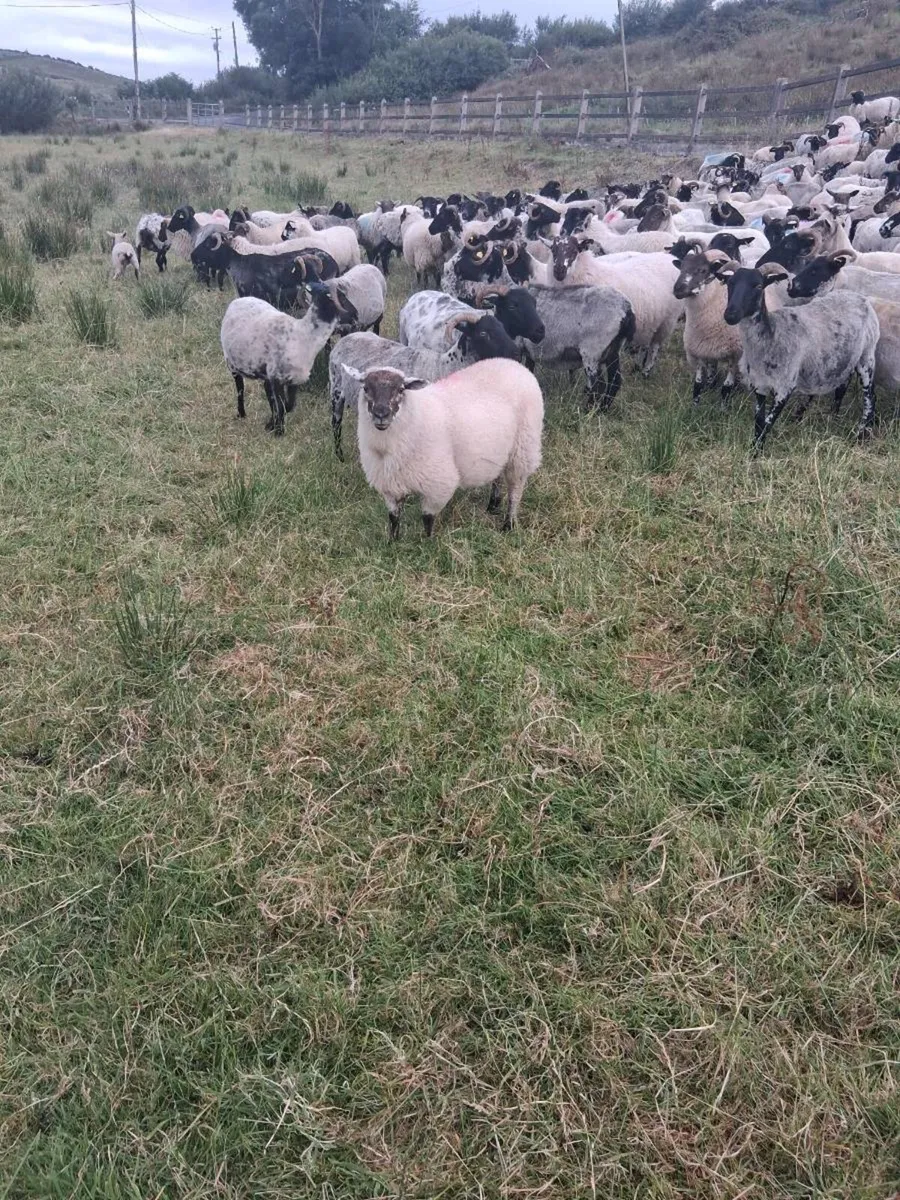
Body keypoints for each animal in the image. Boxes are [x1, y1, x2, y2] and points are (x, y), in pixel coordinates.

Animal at [220, 284, 356, 437]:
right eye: (342, 298)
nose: (355, 315)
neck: (304, 335)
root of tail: (239, 300)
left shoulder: (293, 379)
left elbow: (288, 405)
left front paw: (272, 424)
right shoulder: (277, 377)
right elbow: (281, 405)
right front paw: (278, 431)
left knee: (268, 392)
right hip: (232, 363)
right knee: (240, 387)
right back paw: (241, 413)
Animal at [328, 313, 520, 459]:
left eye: (502, 327)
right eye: (483, 333)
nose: (515, 352)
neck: (444, 366)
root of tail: (346, 337)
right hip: (336, 390)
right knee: (336, 424)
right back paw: (340, 457)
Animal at [344, 360, 544, 538]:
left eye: (401, 389)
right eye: (365, 388)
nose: (381, 414)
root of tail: (515, 364)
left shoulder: (437, 483)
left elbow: (427, 518)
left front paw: (427, 543)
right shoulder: (390, 484)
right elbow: (394, 518)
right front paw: (393, 543)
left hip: (523, 449)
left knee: (515, 491)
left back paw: (508, 524)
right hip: (500, 450)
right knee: (498, 477)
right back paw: (492, 506)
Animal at [548, 237, 682, 374]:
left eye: (574, 251)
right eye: (553, 250)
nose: (559, 271)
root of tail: (669, 257)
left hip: (667, 321)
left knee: (654, 348)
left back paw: (646, 372)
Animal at [717, 260, 879, 448]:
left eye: (758, 286)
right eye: (730, 283)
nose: (730, 315)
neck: (772, 335)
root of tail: (860, 297)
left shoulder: (785, 386)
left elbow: (767, 424)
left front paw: (757, 449)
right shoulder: (760, 385)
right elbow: (758, 422)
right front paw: (755, 449)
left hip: (867, 356)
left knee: (870, 396)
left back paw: (862, 432)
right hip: (844, 358)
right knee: (841, 387)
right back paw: (833, 417)